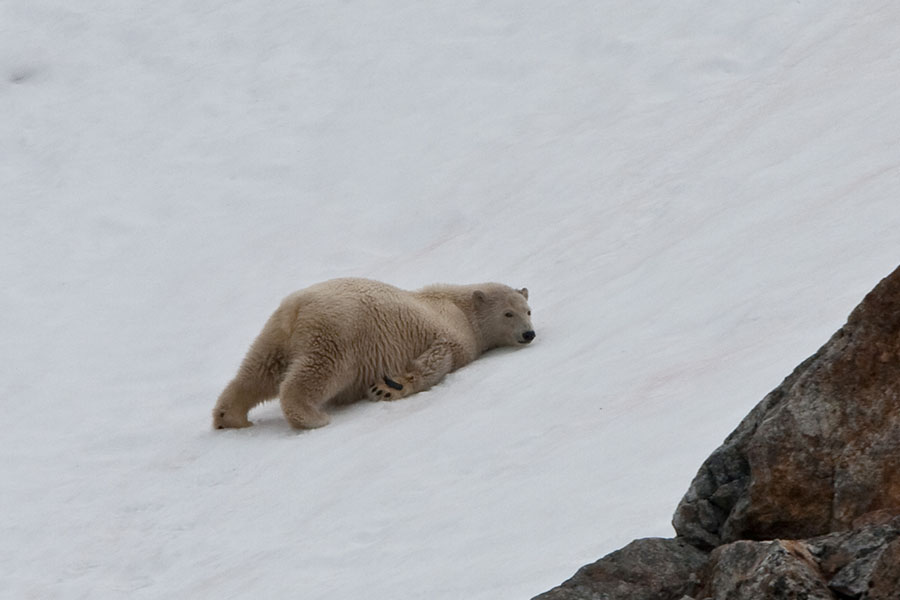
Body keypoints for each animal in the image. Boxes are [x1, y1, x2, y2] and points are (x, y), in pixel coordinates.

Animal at [213, 278, 536, 428]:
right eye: (508, 313)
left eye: (528, 310)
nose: (528, 334)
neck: (461, 305)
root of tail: (298, 308)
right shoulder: (452, 332)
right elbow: (436, 360)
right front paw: (388, 387)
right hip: (341, 335)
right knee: (317, 373)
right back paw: (311, 417)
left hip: (275, 333)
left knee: (258, 371)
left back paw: (229, 417)